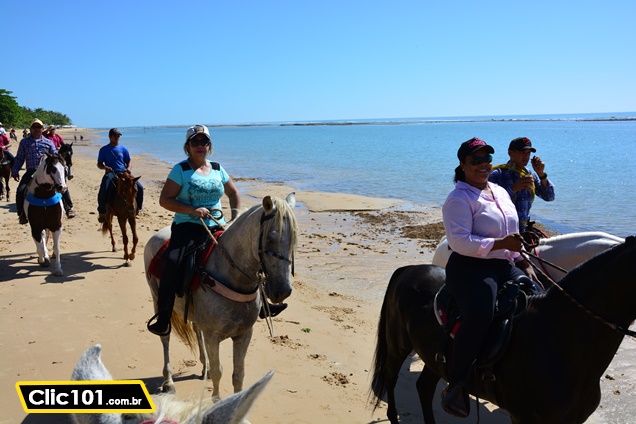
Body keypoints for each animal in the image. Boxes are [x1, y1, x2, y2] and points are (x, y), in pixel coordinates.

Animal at [145, 194, 300, 400]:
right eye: (270, 238)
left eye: (294, 239)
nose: (282, 291)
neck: (231, 275)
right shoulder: (213, 335)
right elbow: (219, 371)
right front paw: (216, 400)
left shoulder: (244, 334)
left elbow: (238, 374)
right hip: (158, 300)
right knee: (165, 338)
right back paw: (168, 382)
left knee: (197, 330)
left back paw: (205, 368)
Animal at [370, 237, 636, 424]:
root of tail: (409, 269)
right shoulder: (524, 418)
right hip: (397, 345)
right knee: (391, 378)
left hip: (435, 359)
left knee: (424, 387)